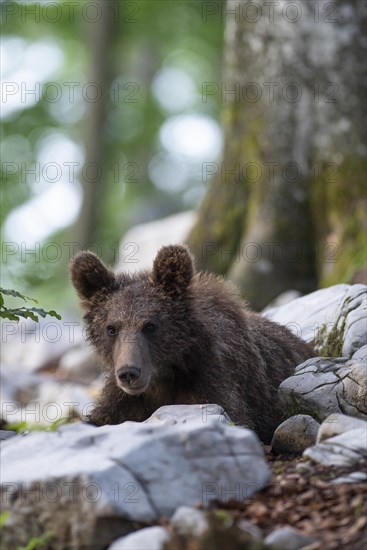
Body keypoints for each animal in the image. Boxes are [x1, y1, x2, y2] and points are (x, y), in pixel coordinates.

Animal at [70, 246, 314, 444]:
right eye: (111, 328)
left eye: (150, 326)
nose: (129, 372)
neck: (164, 377)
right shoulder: (122, 400)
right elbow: (101, 418)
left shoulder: (212, 384)